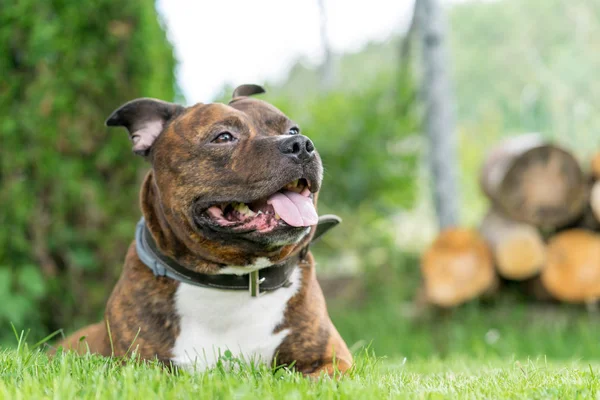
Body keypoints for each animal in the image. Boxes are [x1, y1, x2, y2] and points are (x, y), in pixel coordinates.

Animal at [57, 83, 352, 376]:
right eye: (223, 137)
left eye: (292, 130)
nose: (301, 144)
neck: (236, 279)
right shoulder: (138, 369)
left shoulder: (334, 362)